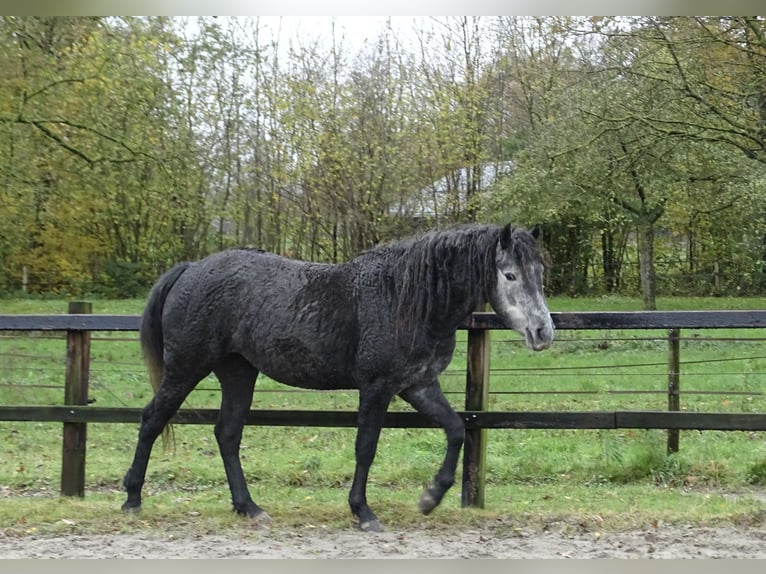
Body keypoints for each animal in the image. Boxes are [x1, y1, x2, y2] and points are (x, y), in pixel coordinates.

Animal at [120, 223, 556, 532]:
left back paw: (249, 508)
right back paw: (132, 499)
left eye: (538, 271)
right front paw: (363, 512)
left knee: (226, 434)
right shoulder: (377, 388)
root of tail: (191, 268)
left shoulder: (417, 385)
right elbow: (366, 448)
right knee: (152, 420)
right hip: (186, 368)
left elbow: (456, 430)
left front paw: (430, 498)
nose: (543, 332)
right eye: (509, 275)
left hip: (238, 373)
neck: (404, 298)